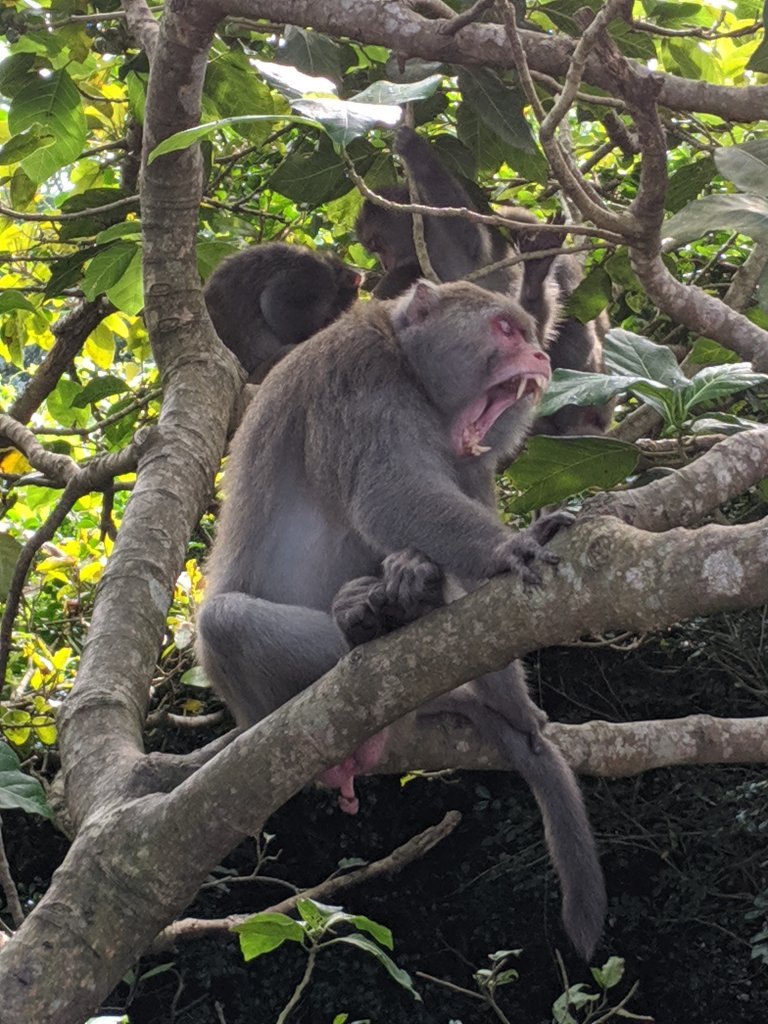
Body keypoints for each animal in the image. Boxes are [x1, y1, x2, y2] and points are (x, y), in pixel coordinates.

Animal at [196, 276, 606, 954]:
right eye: (505, 329)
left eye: (527, 332)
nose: (541, 357)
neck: (412, 368)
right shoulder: (358, 376)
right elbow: (388, 492)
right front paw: (512, 547)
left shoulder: (472, 458)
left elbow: (480, 603)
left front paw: (516, 706)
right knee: (223, 624)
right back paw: (383, 648)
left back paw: (406, 605)